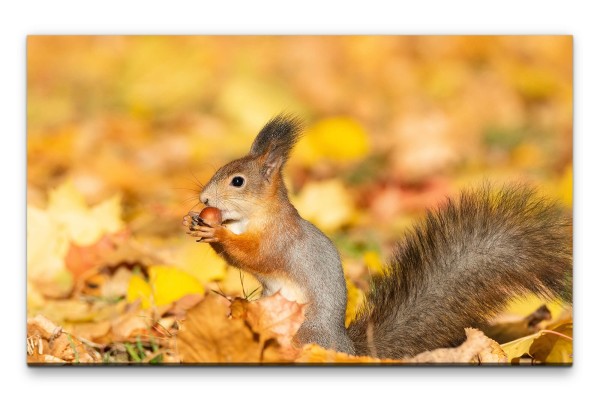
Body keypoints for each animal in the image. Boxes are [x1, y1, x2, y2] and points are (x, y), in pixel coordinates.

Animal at [182, 114, 572, 358]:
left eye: (237, 181)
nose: (204, 199)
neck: (251, 218)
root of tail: (349, 351)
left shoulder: (279, 239)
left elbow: (255, 255)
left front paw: (215, 231)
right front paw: (194, 222)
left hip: (304, 331)